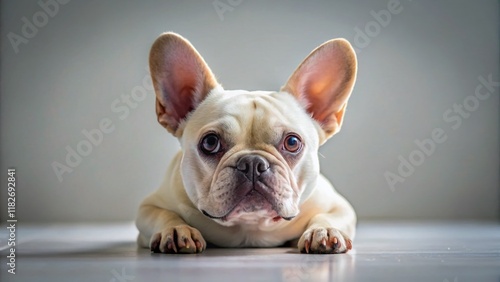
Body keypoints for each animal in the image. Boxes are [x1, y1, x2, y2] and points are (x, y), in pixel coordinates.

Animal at [135, 32, 358, 254]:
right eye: (210, 142)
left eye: (292, 142)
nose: (252, 163)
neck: (250, 226)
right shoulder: (149, 206)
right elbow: (163, 214)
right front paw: (176, 229)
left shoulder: (340, 206)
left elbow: (328, 215)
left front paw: (324, 230)